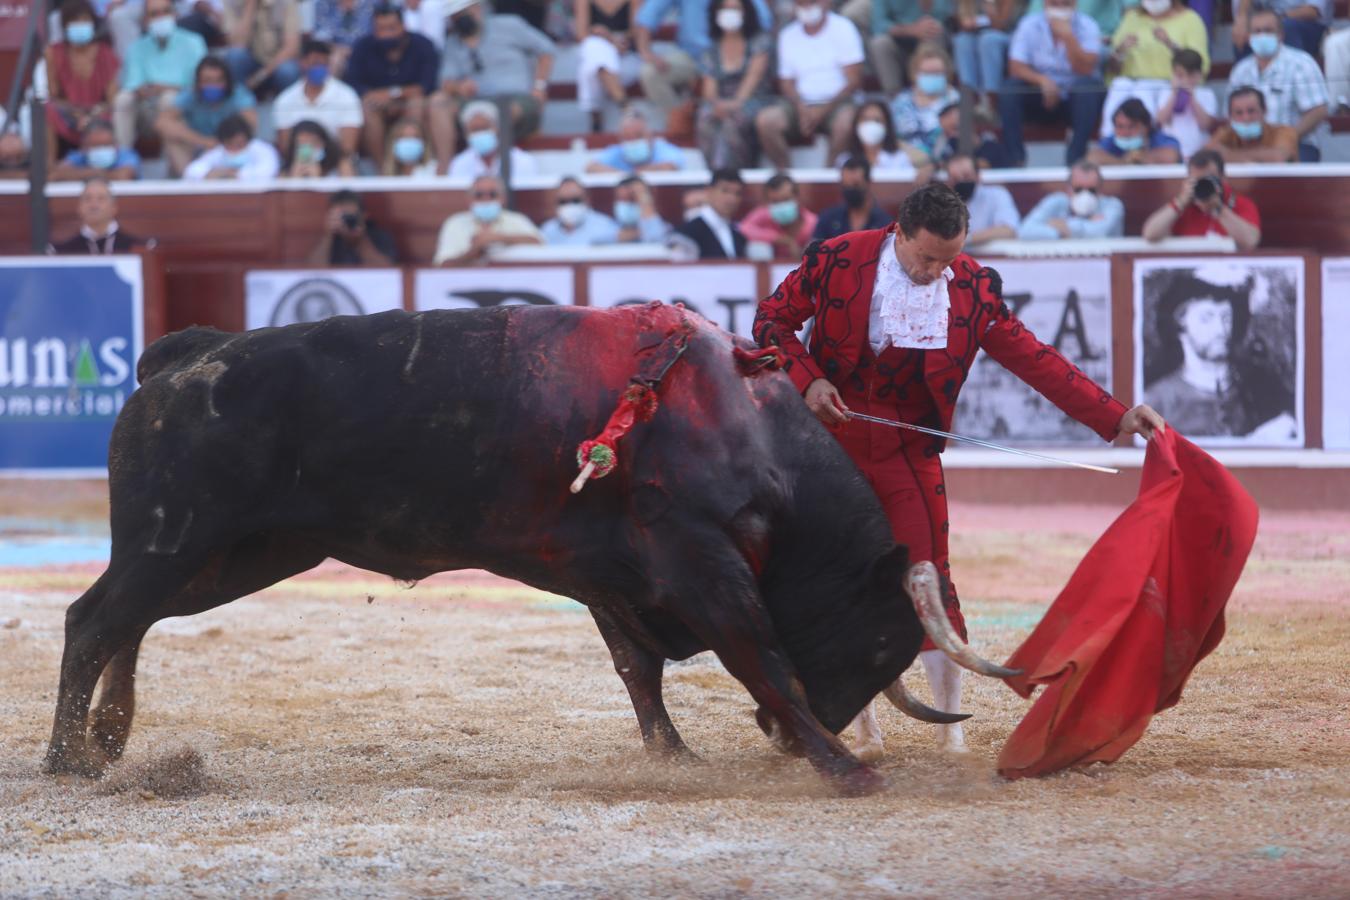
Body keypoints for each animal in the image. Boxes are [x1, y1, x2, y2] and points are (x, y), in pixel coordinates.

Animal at [47, 304, 945, 793]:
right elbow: (762, 657)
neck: (742, 424)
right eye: (881, 641)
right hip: (175, 540)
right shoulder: (699, 562)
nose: (789, 741)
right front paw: (845, 767)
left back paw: (110, 740)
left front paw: (674, 757)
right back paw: (67, 759)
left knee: (133, 620)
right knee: (93, 619)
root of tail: (186, 355)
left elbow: (639, 669)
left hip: (242, 552)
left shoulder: (613, 578)